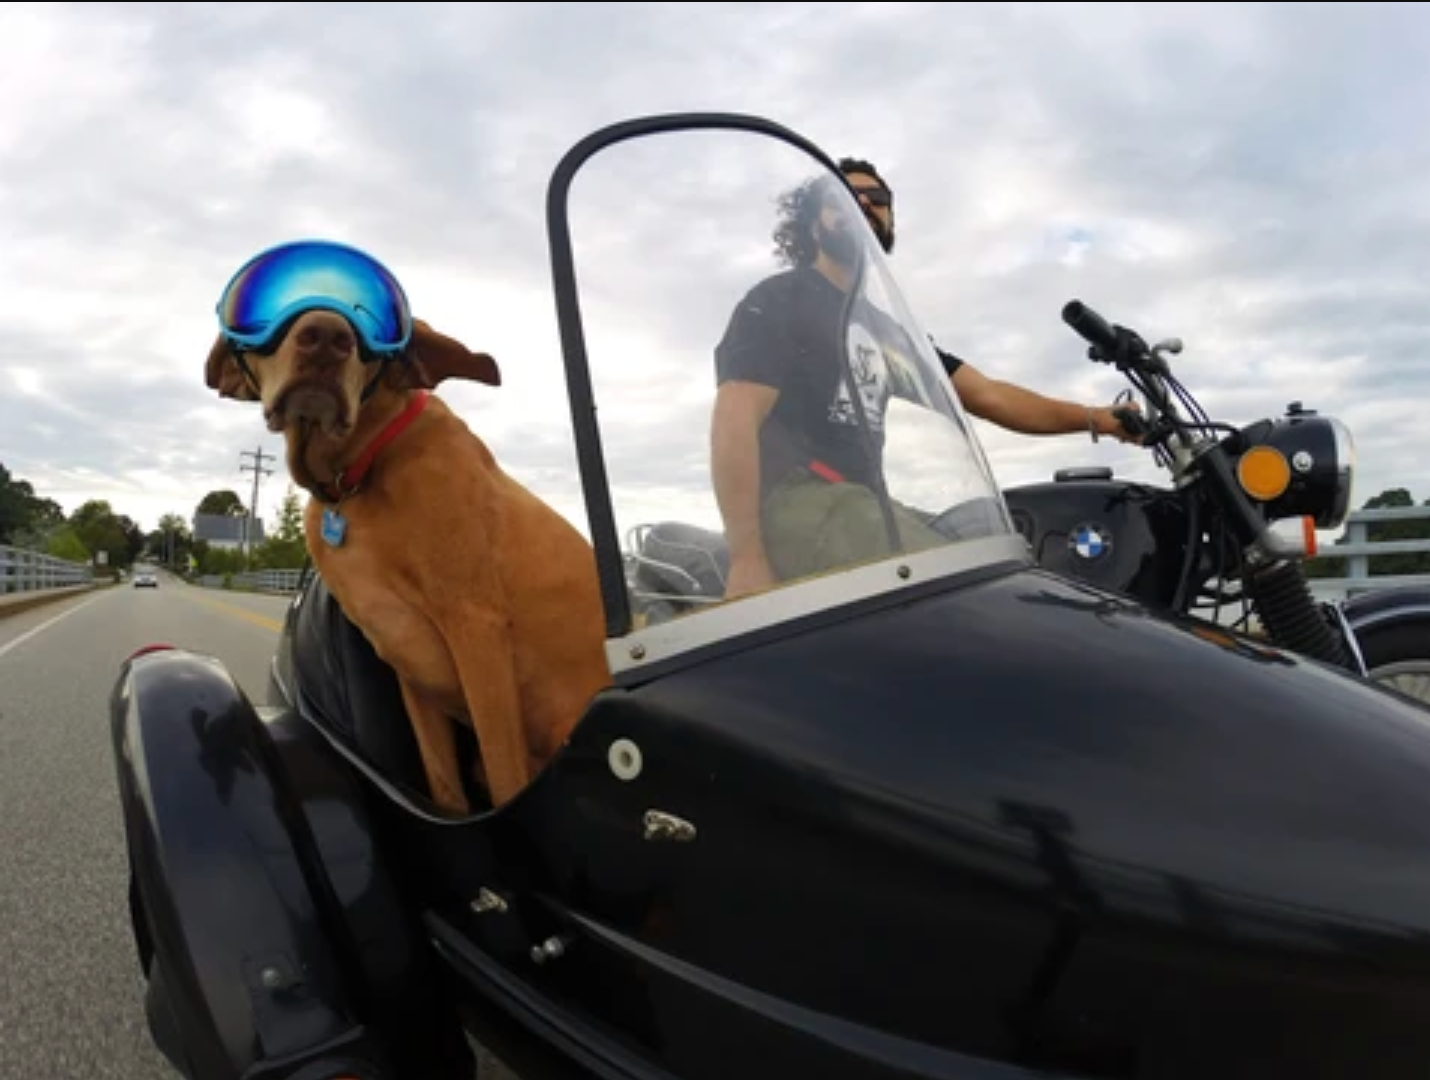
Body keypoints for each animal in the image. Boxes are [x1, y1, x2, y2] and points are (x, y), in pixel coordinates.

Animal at [207, 304, 609, 812]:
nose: (326, 339)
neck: (357, 475)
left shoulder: (476, 625)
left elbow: (505, 778)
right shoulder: (409, 660)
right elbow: (445, 787)